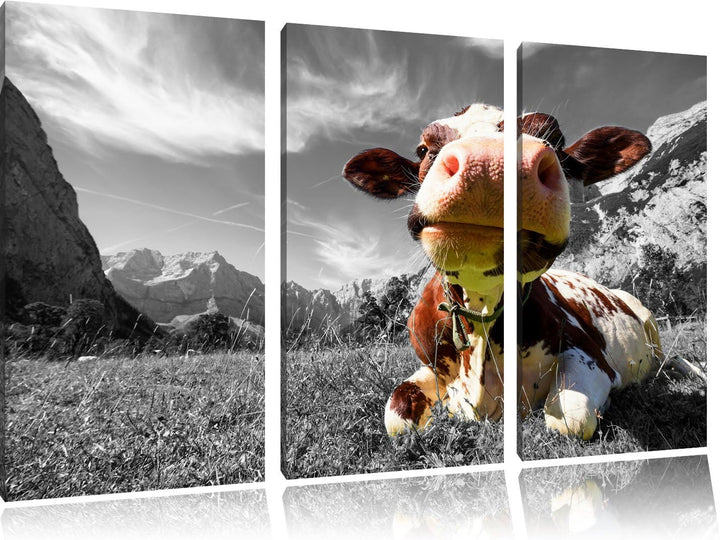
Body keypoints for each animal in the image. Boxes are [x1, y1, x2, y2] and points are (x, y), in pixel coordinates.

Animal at [342, 103, 661, 440]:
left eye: (555, 139)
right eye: (423, 149)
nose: (488, 164)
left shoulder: (590, 354)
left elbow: (570, 419)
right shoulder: (430, 368)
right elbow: (396, 415)